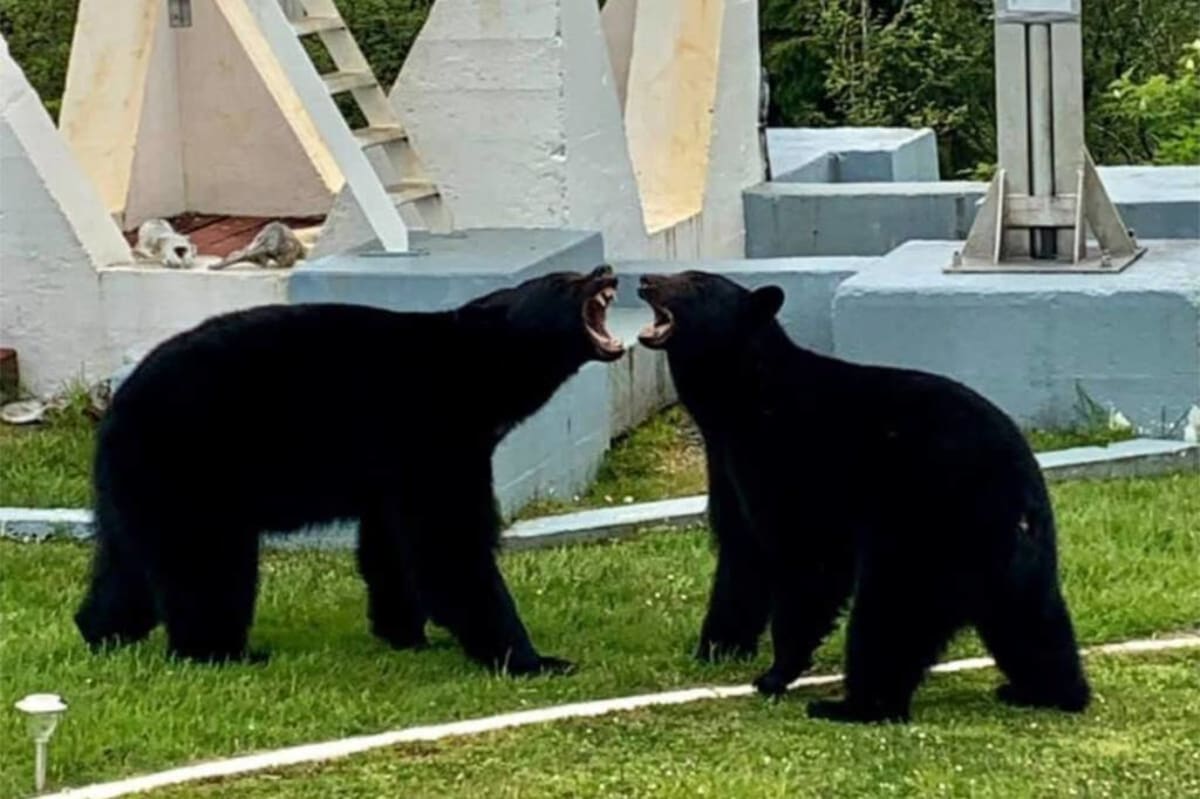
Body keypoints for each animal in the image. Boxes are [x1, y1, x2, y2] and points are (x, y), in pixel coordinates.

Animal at [75, 266, 624, 672]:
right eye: (564, 282)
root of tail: (115, 408)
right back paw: (222, 653)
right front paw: (532, 659)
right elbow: (448, 544)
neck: (476, 371)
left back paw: (102, 632)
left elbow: (388, 545)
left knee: (126, 565)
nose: (604, 269)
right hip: (192, 465)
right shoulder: (431, 433)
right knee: (206, 565)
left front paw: (405, 633)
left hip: (138, 484)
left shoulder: (395, 466)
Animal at [636, 270, 1090, 723]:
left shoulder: (790, 461)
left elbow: (807, 560)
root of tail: (1018, 486)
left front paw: (775, 674)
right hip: (1012, 557)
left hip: (924, 525)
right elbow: (741, 556)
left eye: (695, 283)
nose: (645, 279)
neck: (743, 402)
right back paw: (1045, 691)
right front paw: (715, 649)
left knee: (889, 617)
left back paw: (851, 705)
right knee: (1031, 620)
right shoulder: (728, 468)